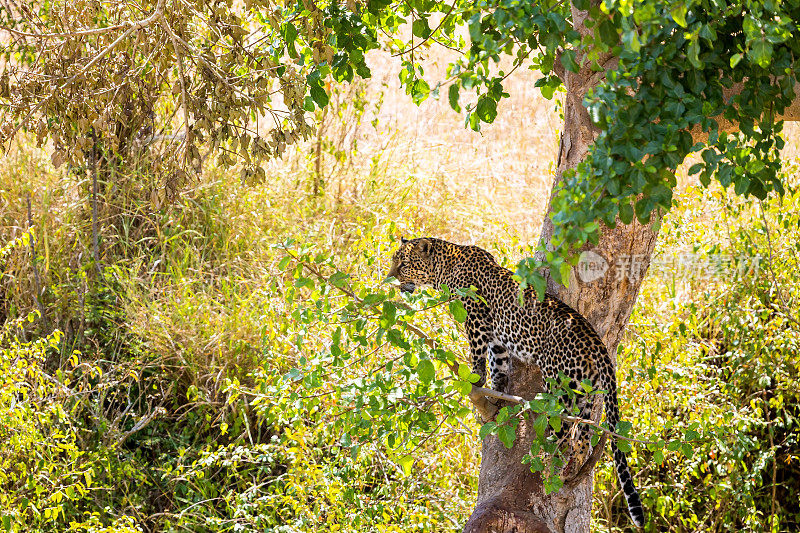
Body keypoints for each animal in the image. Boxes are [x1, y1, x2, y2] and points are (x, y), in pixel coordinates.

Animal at [388, 238, 644, 528]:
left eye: (403, 264)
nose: (390, 277)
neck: (445, 267)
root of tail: (597, 342)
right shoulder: (497, 338)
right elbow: (498, 365)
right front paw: (496, 396)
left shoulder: (476, 318)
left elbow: (478, 355)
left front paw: (475, 380)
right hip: (584, 391)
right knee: (583, 437)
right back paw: (571, 469)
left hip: (559, 388)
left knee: (563, 435)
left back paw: (547, 463)